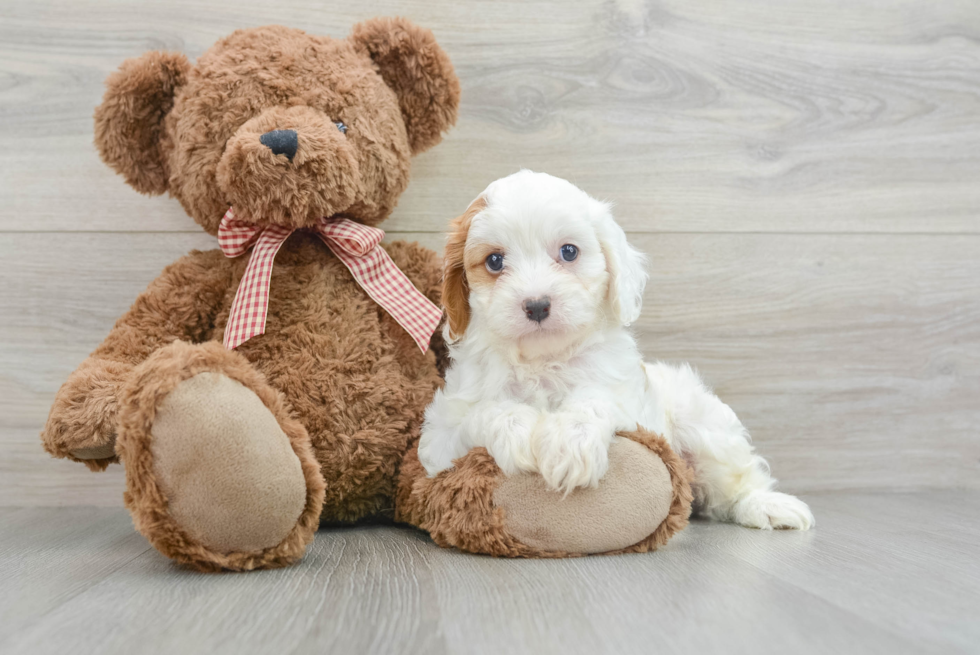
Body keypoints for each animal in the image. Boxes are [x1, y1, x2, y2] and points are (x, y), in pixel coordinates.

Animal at [418, 172, 816, 532]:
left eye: (568, 252)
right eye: (495, 261)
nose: (536, 305)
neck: (543, 361)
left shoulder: (631, 406)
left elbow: (596, 400)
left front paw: (569, 443)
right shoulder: (439, 440)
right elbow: (483, 412)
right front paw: (518, 428)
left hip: (703, 423)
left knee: (735, 479)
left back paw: (768, 506)